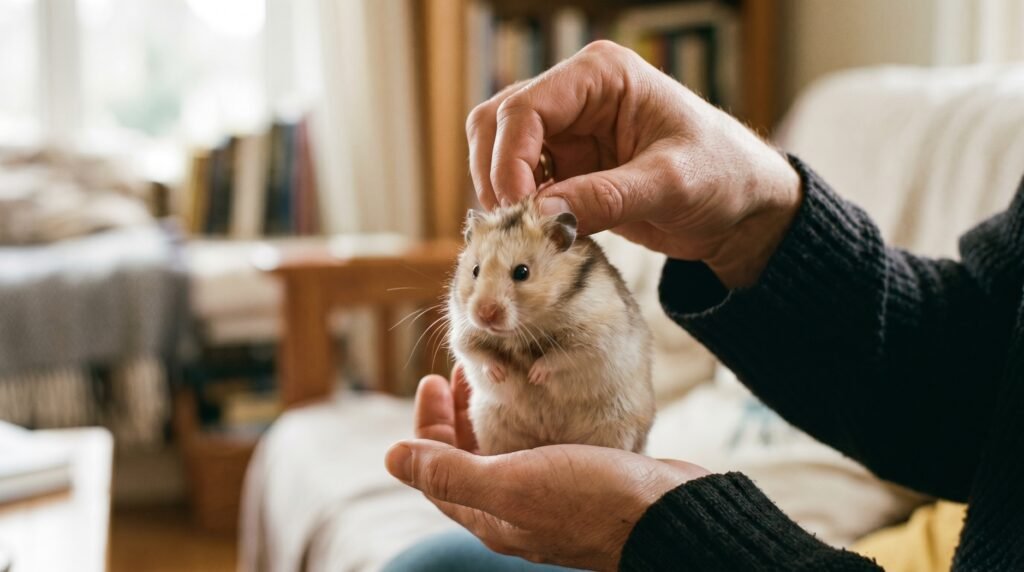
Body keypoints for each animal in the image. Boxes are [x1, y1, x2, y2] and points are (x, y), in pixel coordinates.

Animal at [447, 196, 655, 455]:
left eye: (522, 272)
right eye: (475, 270)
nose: (485, 314)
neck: (523, 328)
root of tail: (550, 437)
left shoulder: (595, 338)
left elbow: (561, 357)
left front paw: (535, 376)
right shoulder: (463, 331)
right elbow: (476, 352)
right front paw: (500, 374)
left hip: (616, 424)